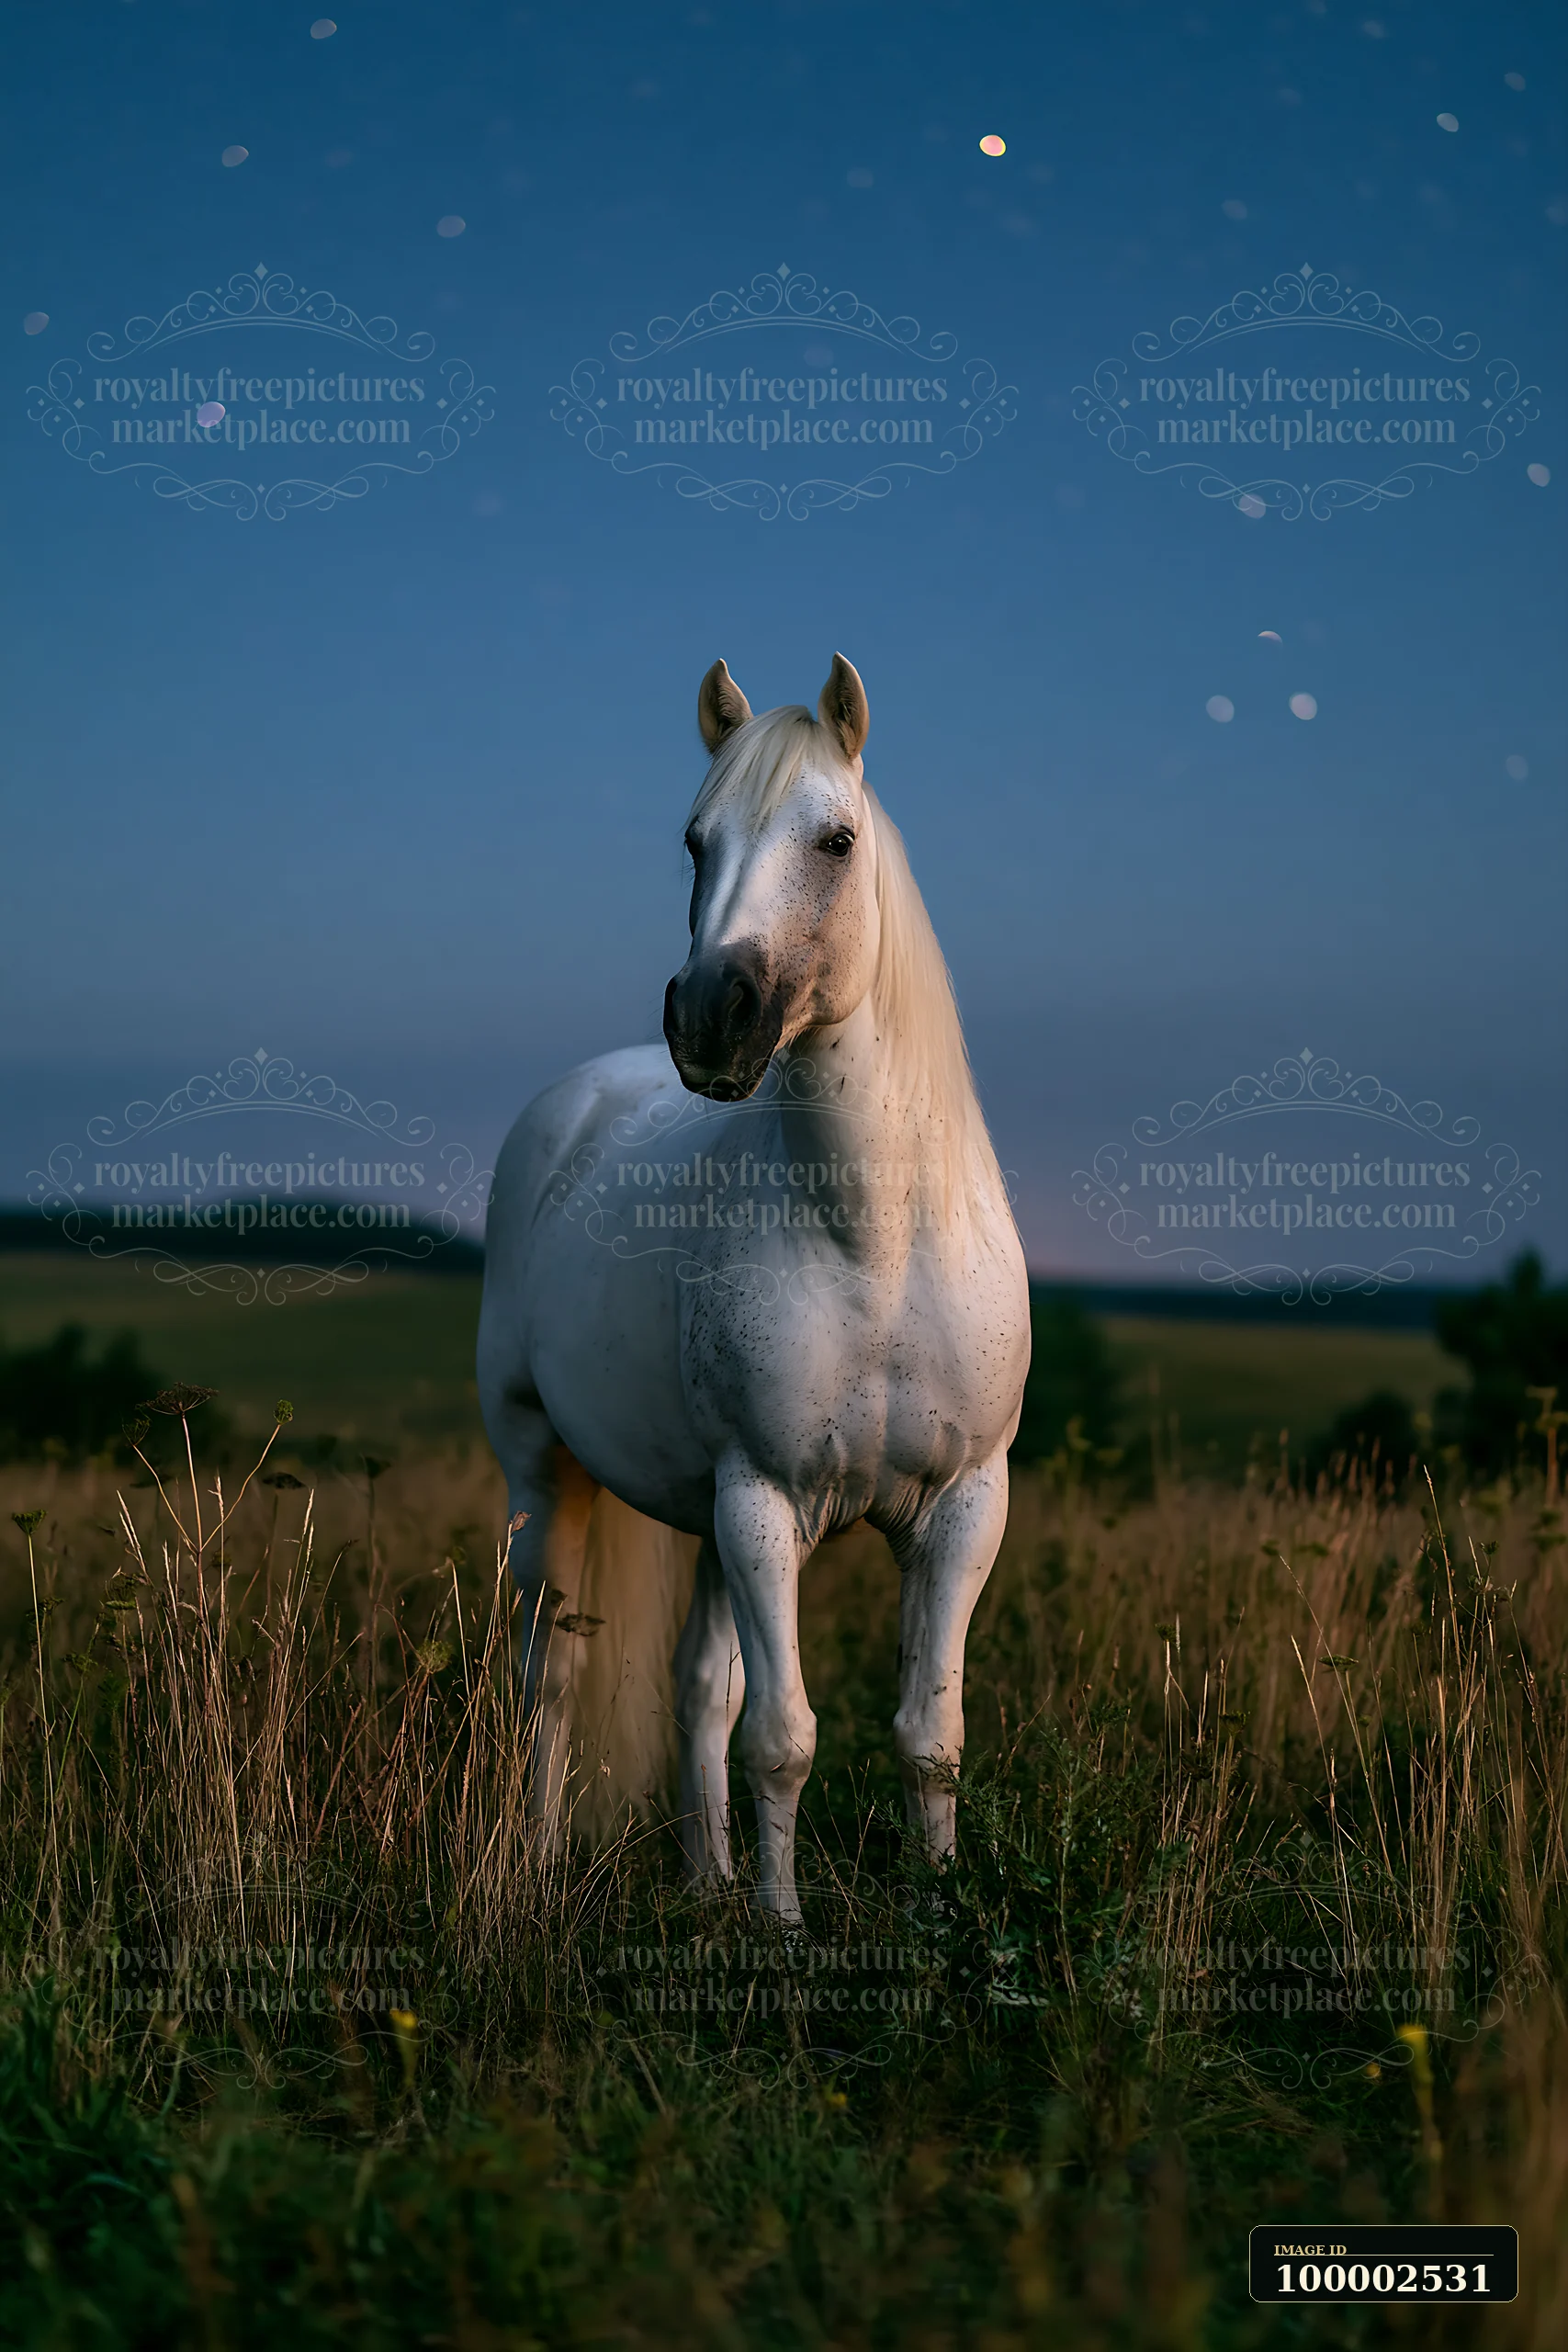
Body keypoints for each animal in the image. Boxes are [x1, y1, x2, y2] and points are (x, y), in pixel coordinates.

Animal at [477, 654, 1030, 1922]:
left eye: (836, 840)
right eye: (695, 841)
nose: (707, 1017)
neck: (880, 1245)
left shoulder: (965, 1506)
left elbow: (928, 1734)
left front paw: (936, 1908)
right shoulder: (766, 1500)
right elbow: (784, 1736)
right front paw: (780, 1929)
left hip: (707, 1518)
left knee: (697, 1686)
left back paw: (707, 1877)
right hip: (548, 1471)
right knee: (553, 1671)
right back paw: (539, 1864)